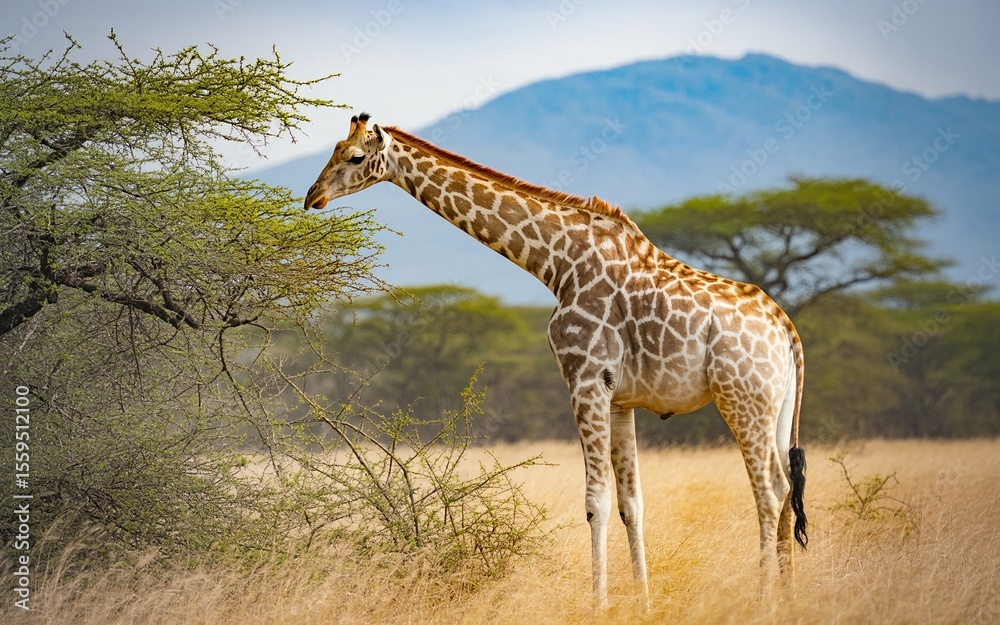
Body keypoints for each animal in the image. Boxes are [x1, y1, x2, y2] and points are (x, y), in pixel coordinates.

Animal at [305, 113, 808, 608]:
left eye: (354, 156)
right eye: (332, 148)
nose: (313, 196)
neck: (558, 262)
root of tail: (786, 328)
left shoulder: (584, 378)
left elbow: (595, 502)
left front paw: (598, 605)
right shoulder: (619, 397)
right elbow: (632, 503)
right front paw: (642, 603)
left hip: (741, 399)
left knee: (770, 492)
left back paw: (765, 600)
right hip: (777, 408)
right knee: (787, 487)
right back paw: (789, 597)